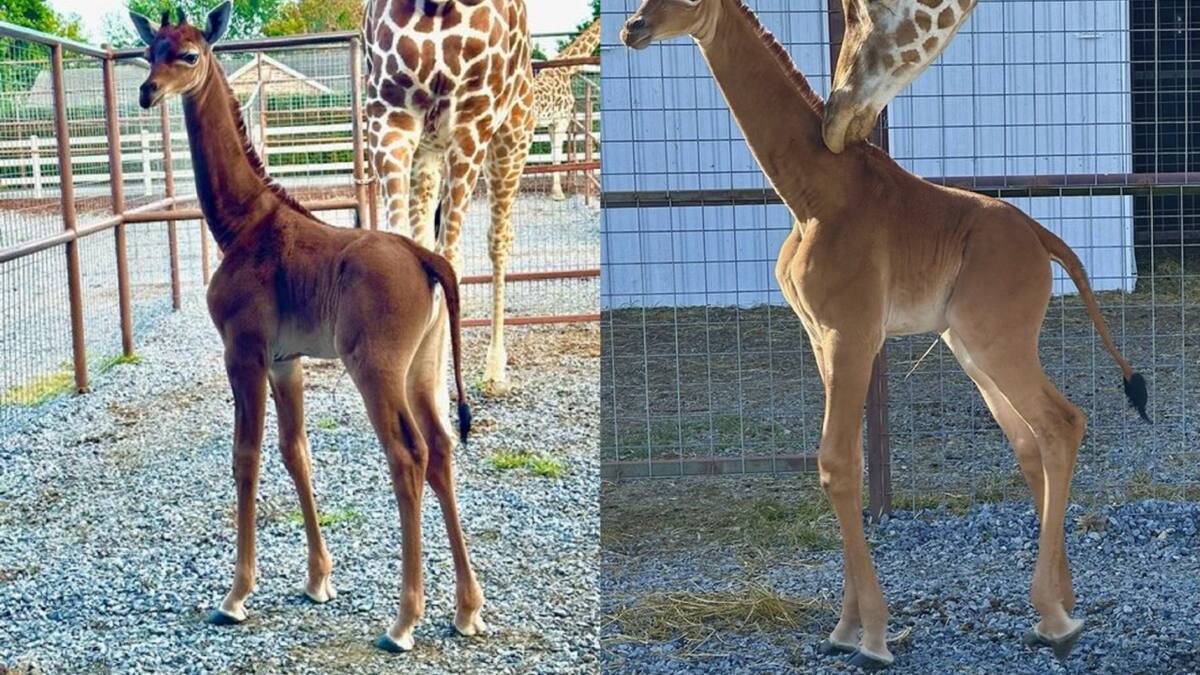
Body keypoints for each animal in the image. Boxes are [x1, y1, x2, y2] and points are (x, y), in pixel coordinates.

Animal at [362, 0, 535, 391]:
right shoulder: (389, 116)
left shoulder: (471, 123)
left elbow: (450, 261)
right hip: (427, 153)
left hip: (512, 138)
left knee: (499, 239)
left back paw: (495, 369)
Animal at [532, 17, 600, 201]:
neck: (566, 69)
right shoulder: (562, 119)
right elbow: (557, 154)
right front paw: (558, 193)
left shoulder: (551, 123)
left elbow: (554, 154)